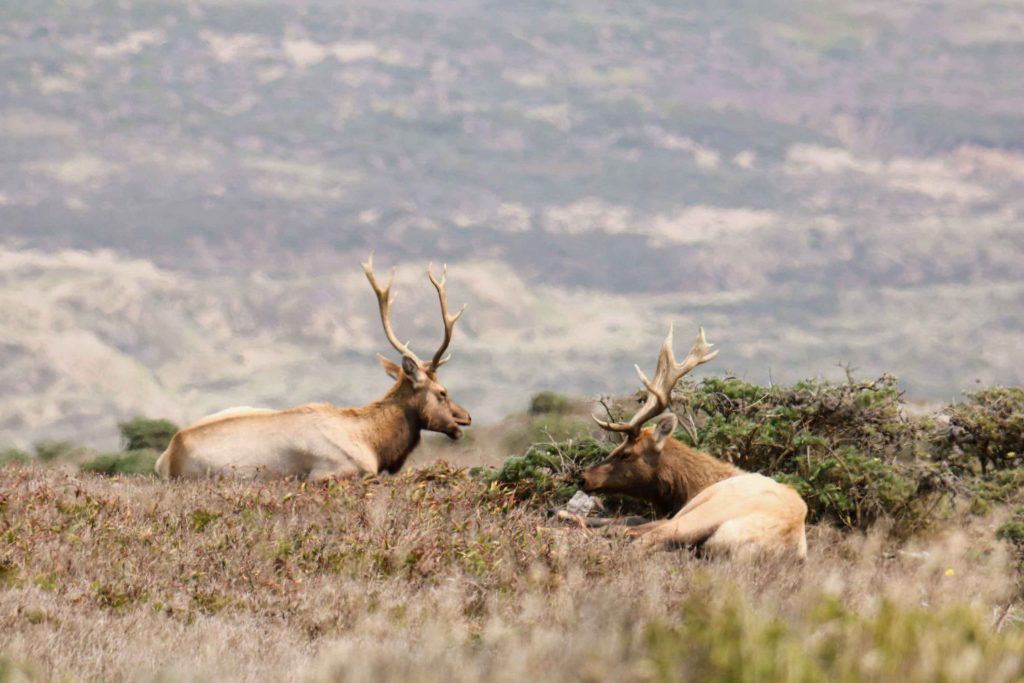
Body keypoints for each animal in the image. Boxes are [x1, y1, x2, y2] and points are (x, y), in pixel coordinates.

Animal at [581, 327, 802, 557]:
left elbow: (624, 523)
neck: (691, 487)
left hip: (700, 515)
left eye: (626, 453)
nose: (583, 478)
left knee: (639, 538)